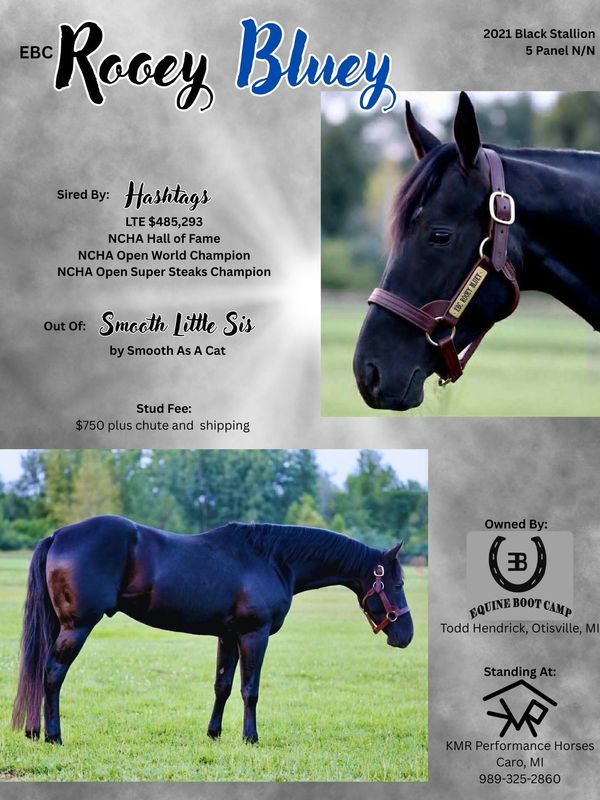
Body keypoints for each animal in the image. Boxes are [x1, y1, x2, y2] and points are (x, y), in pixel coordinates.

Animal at [12, 515, 413, 744]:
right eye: (397, 584)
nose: (406, 635)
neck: (272, 559)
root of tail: (58, 535)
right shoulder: (254, 634)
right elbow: (250, 690)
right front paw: (251, 738)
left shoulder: (229, 635)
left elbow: (223, 685)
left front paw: (214, 734)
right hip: (77, 626)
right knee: (52, 674)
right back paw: (53, 736)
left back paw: (34, 732)